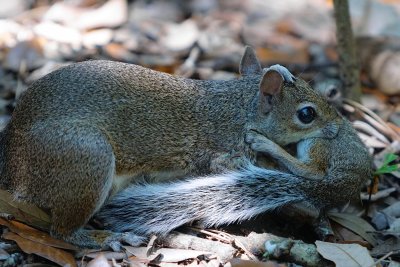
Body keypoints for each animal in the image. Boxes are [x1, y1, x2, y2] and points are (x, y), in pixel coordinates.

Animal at [0, 46, 372, 251]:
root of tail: (13, 171)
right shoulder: (220, 153)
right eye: (306, 114)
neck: (236, 108)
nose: (338, 126)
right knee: (62, 230)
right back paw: (104, 239)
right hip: (85, 158)